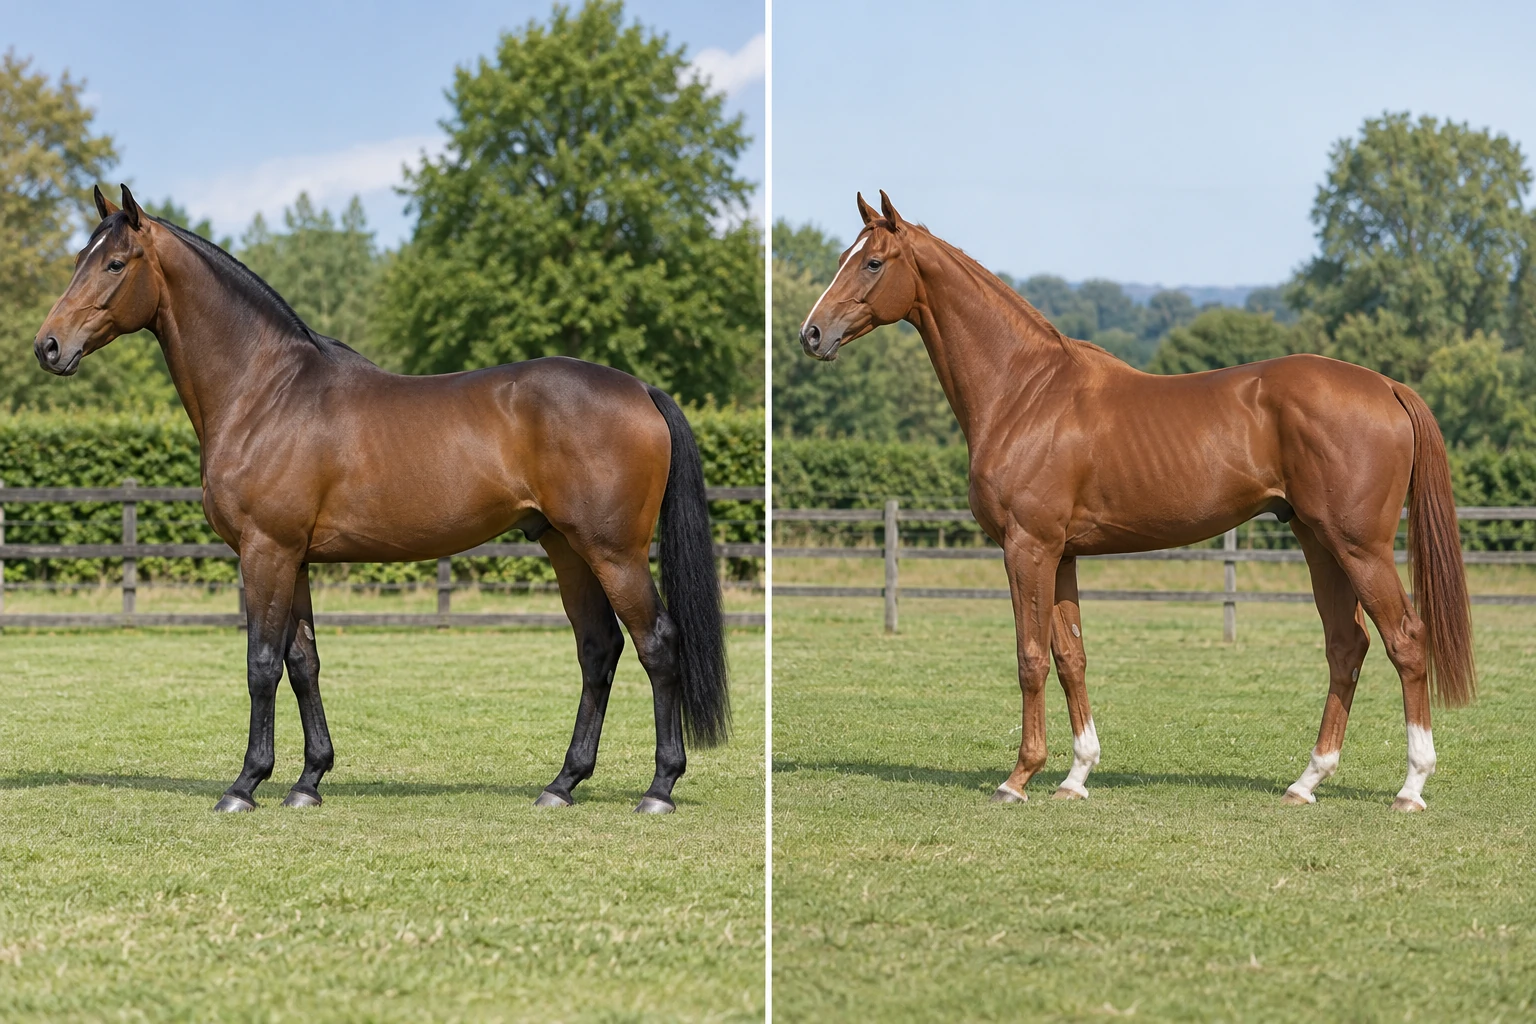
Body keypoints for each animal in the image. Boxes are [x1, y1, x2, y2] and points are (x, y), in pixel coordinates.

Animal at [32, 184, 729, 815]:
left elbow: (261, 664)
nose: (48, 346)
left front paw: (245, 785)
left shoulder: (265, 551)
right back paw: (562, 784)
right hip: (566, 548)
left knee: (657, 644)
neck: (266, 393)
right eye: (78, 258)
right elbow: (302, 662)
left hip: (613, 553)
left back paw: (659, 788)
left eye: (115, 263)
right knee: (598, 649)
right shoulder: (294, 559)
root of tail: (639, 389)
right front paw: (308, 782)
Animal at [798, 191, 1474, 812]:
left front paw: (1018, 778)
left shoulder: (1027, 548)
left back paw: (1411, 787)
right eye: (843, 257)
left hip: (1359, 547)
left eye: (874, 262)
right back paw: (1306, 782)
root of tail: (1385, 386)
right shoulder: (1062, 555)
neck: (1024, 392)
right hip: (1318, 542)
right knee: (1346, 646)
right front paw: (1075, 775)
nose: (811, 334)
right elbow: (1070, 655)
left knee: (1406, 641)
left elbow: (1029, 658)